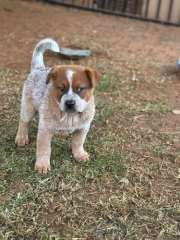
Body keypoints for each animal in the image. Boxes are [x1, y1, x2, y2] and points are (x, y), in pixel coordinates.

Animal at [15, 39, 100, 174]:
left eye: (80, 89)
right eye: (61, 88)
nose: (70, 103)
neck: (70, 116)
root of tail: (38, 68)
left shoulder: (83, 128)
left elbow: (78, 142)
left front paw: (79, 154)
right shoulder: (45, 129)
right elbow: (44, 149)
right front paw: (42, 165)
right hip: (28, 108)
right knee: (24, 122)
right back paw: (21, 138)